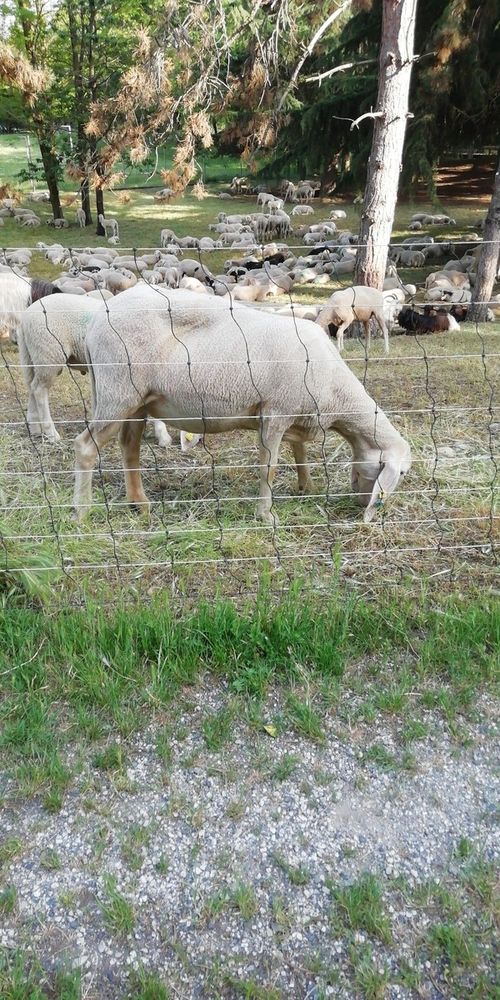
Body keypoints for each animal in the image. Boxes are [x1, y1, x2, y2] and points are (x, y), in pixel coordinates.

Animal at [73, 285, 411, 524]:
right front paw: (266, 515)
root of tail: (95, 322)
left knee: (129, 447)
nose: (365, 505)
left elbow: (300, 453)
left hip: (137, 402)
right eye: (402, 474)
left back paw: (139, 503)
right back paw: (83, 511)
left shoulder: (295, 411)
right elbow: (269, 467)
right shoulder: (275, 410)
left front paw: (307, 486)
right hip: (118, 392)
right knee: (86, 446)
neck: (336, 393)